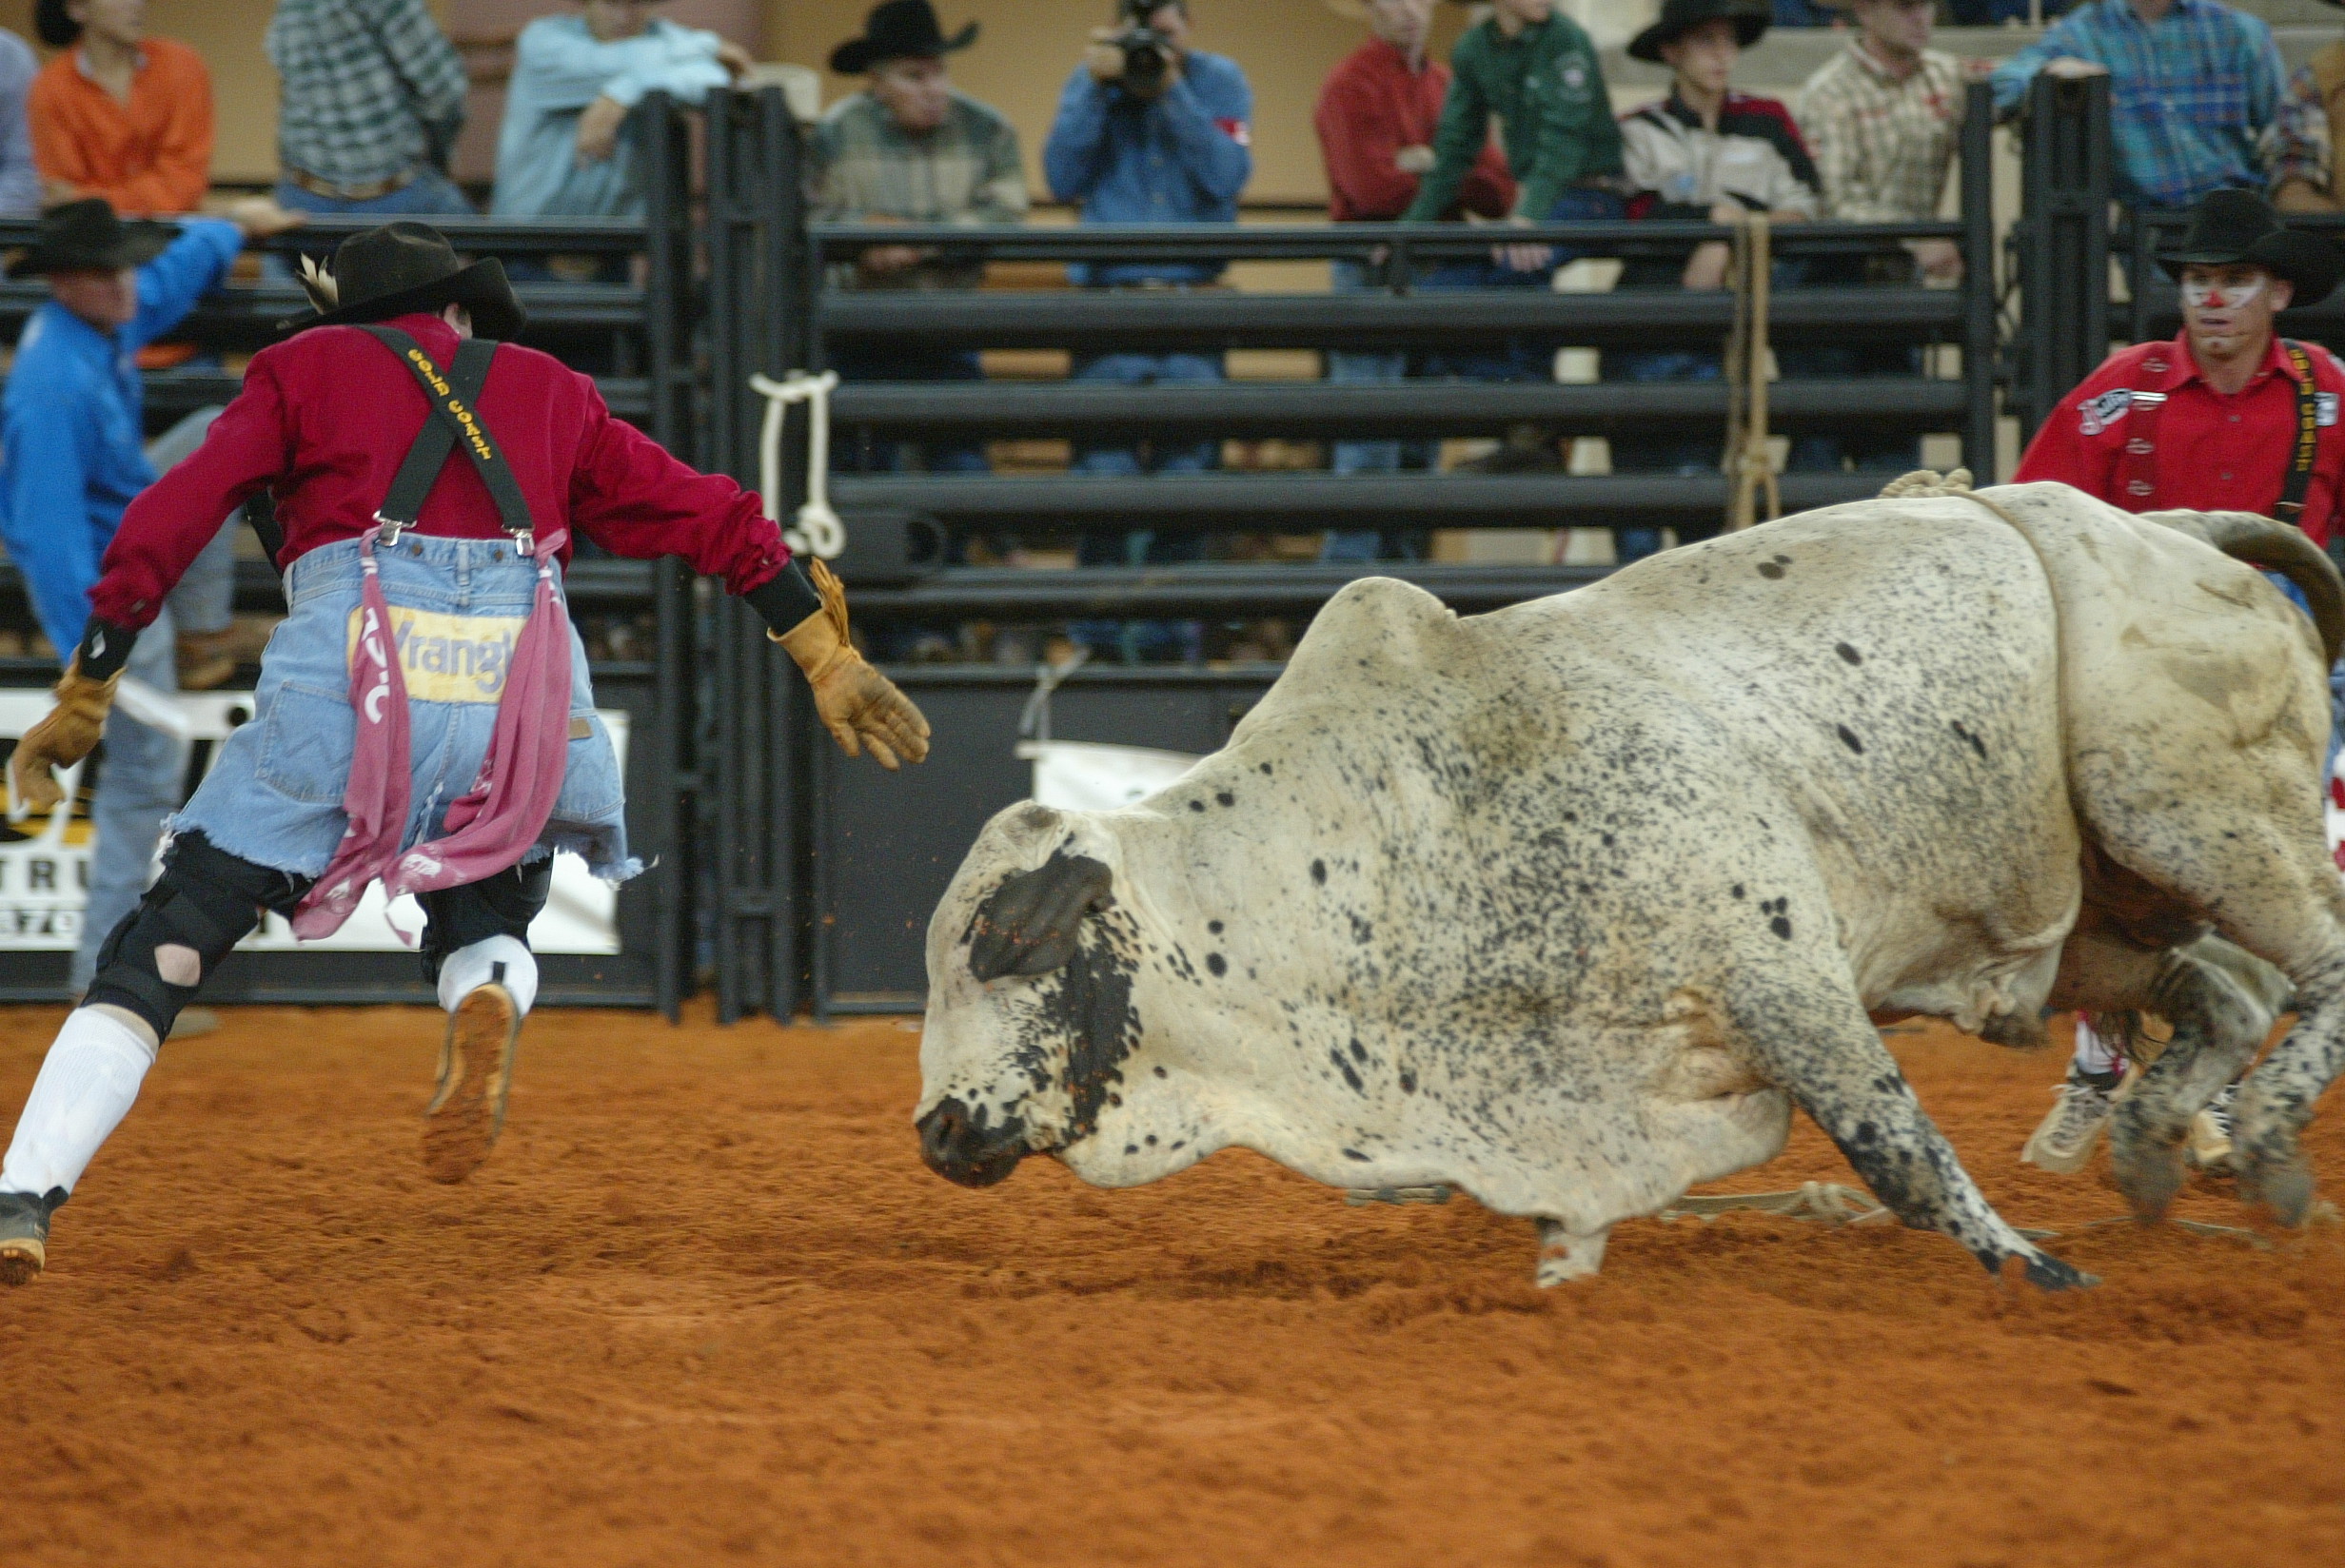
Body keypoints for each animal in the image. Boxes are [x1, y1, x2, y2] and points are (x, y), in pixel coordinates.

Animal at [905, 473, 2345, 1284]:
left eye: (1002, 944)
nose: (935, 1130)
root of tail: (2172, 530)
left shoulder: (1782, 972)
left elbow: (1895, 1146)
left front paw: (2032, 1272)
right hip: (2098, 915)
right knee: (2222, 999)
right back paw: (2159, 1158)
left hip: (2196, 814)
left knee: (2315, 970)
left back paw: (2264, 1146)